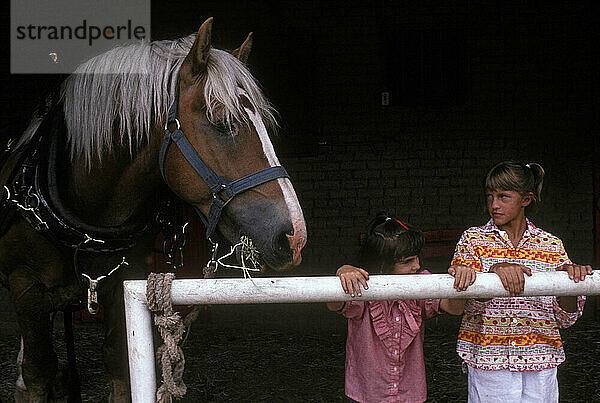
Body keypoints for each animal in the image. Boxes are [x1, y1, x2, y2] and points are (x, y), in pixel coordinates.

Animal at [0, 17, 308, 402]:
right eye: (223, 123)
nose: (294, 236)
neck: (86, 222)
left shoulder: (120, 286)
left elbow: (118, 363)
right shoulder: (27, 289)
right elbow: (39, 372)